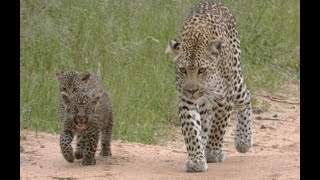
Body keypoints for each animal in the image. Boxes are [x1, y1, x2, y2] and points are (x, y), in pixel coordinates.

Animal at [165, 0, 252, 172]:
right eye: (183, 70)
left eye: (202, 70)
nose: (192, 90)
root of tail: (214, 2)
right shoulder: (186, 100)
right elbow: (191, 130)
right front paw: (196, 160)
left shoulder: (224, 98)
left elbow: (218, 126)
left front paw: (213, 152)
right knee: (205, 120)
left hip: (235, 81)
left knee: (246, 96)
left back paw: (243, 140)